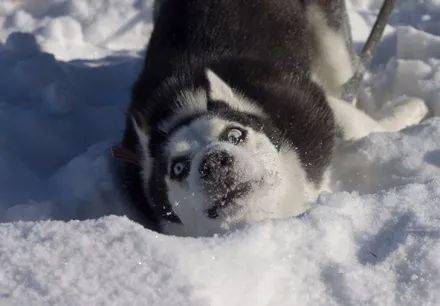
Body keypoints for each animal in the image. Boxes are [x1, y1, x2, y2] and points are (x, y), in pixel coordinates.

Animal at [116, 0, 426, 237]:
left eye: (234, 134)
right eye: (178, 168)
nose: (214, 162)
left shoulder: (310, 106)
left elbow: (356, 123)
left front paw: (411, 111)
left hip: (330, 40)